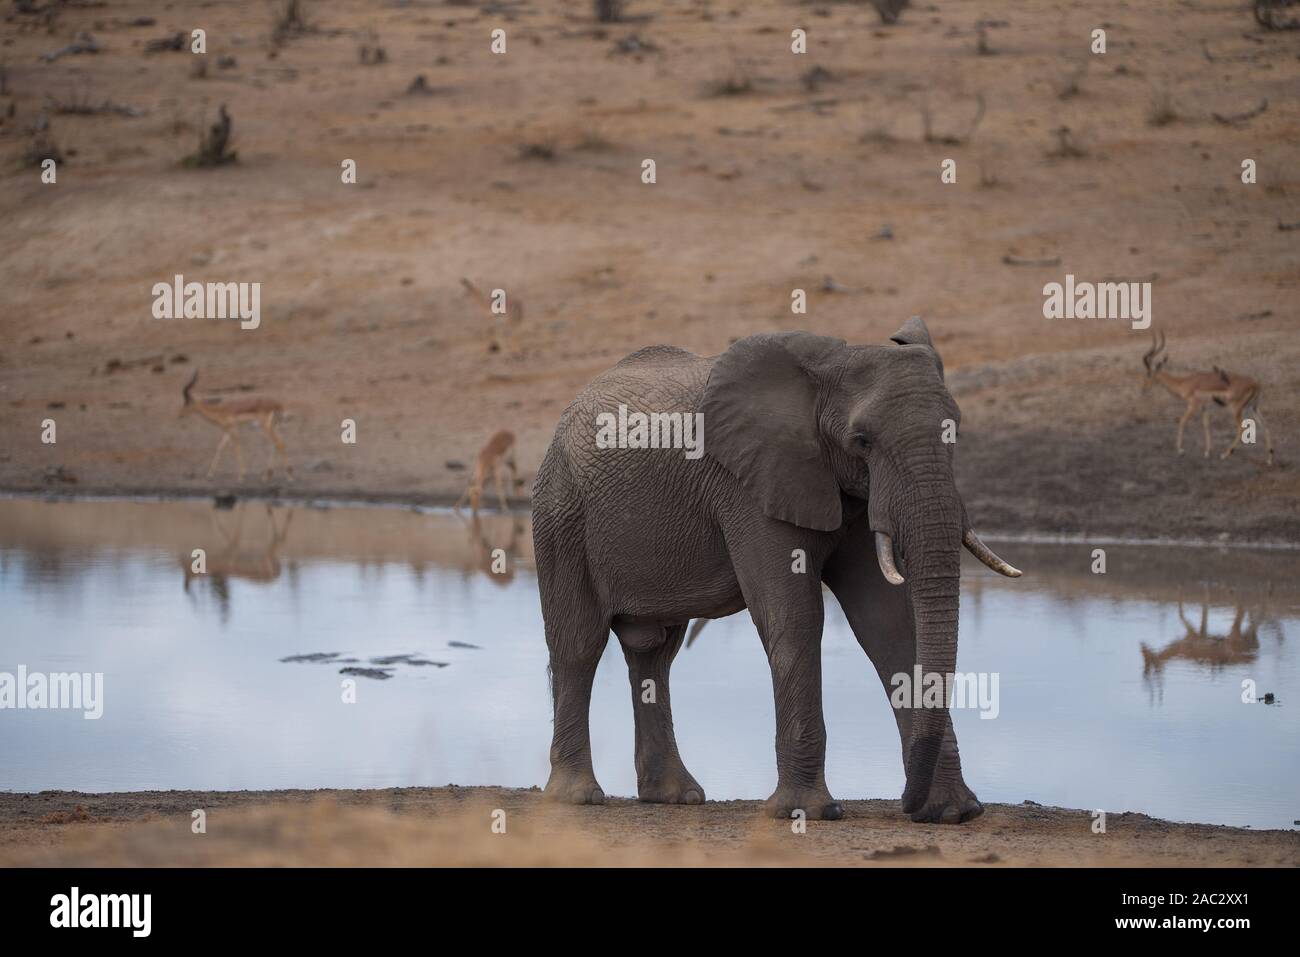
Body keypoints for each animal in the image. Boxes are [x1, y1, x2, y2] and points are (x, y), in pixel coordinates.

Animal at [532, 317, 1022, 823]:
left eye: (955, 432)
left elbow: (887, 622)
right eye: (862, 441)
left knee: (654, 653)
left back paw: (675, 796)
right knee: (578, 644)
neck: (829, 367)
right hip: (561, 512)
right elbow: (793, 615)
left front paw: (952, 812)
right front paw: (808, 812)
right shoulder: (747, 486)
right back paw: (577, 796)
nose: (907, 804)